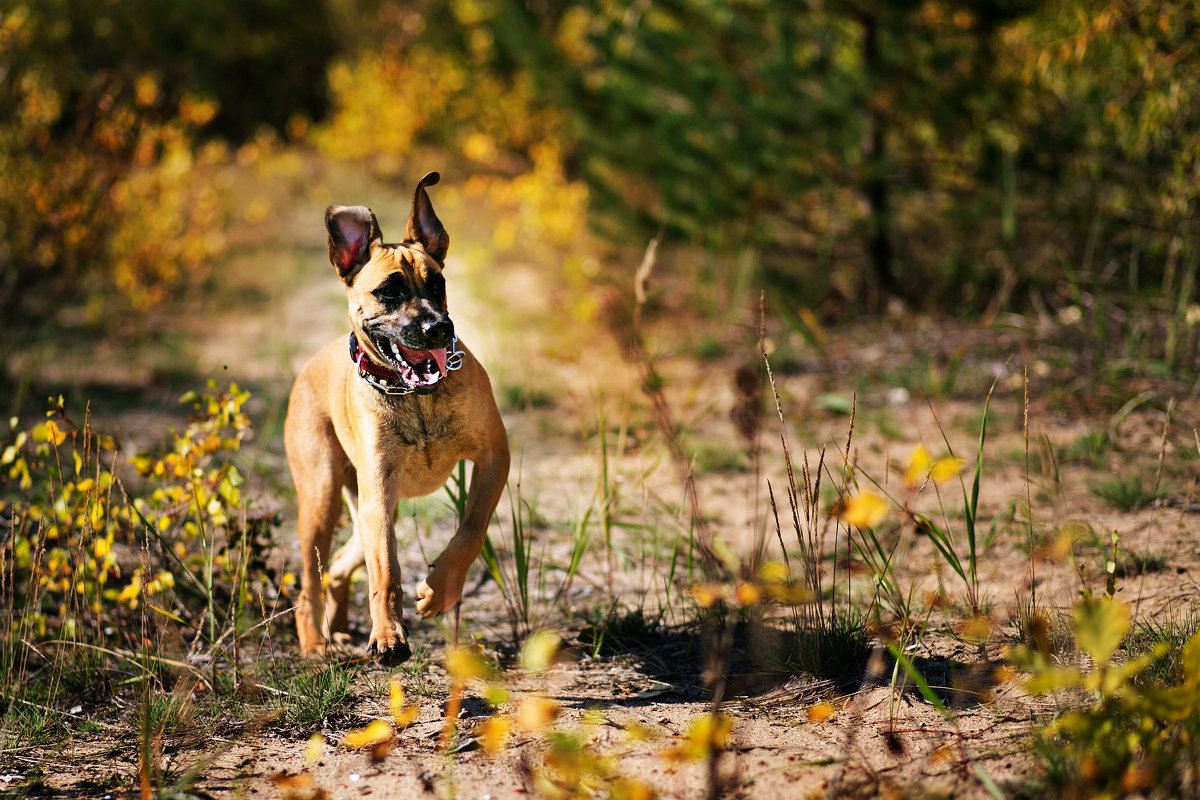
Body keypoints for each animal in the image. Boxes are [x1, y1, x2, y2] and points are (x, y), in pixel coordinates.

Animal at [285, 173, 511, 662]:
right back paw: (315, 643)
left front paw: (440, 590)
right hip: (324, 499)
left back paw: (339, 628)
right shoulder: (380, 492)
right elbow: (386, 572)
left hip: (359, 511)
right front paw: (388, 635)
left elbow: (470, 529)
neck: (415, 396)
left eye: (438, 283)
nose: (437, 328)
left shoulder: (493, 458)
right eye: (388, 291)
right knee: (311, 582)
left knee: (338, 567)